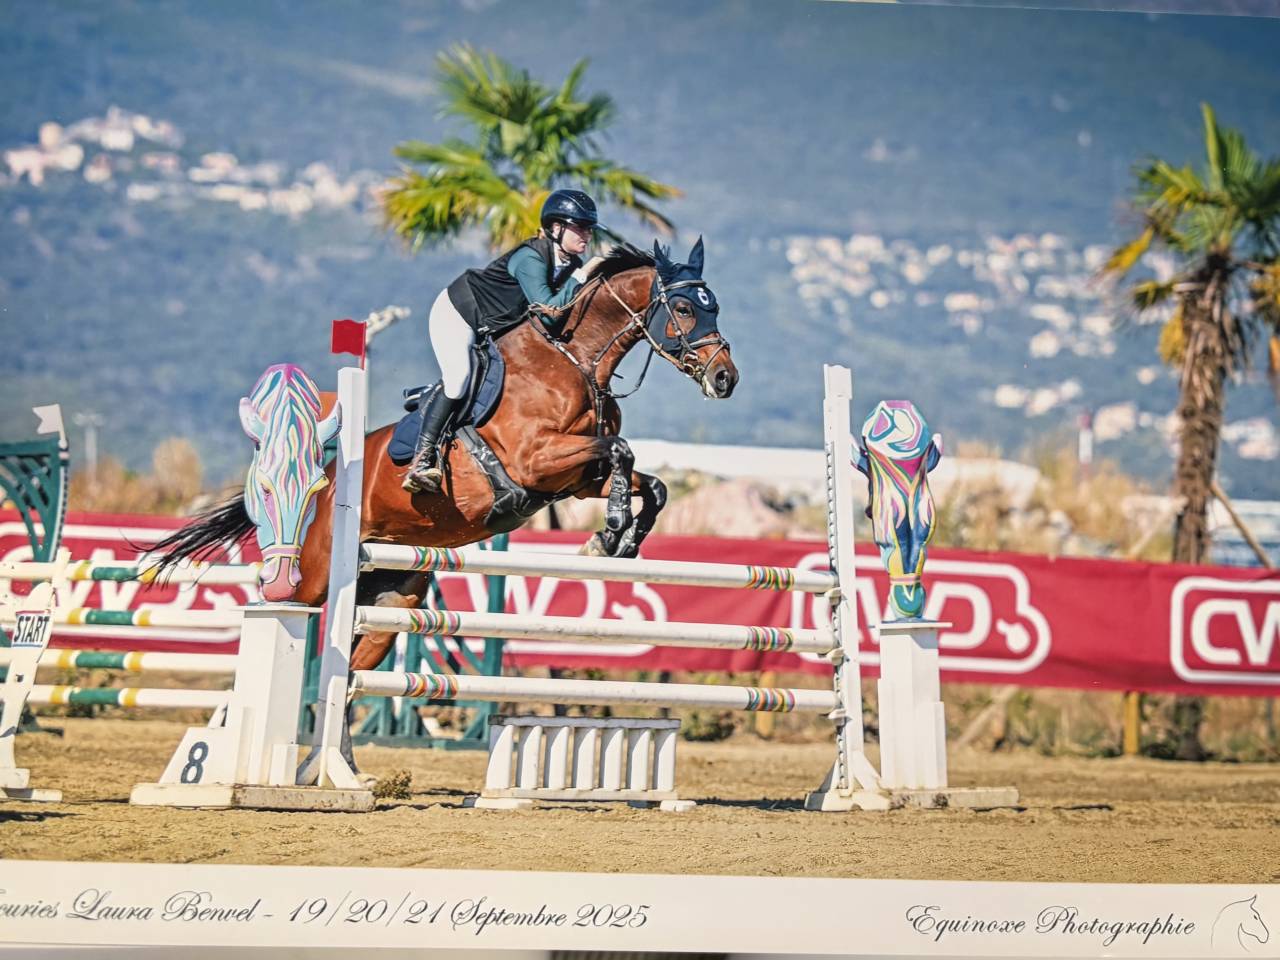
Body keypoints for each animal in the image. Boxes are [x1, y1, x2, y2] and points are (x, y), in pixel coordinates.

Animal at [152, 239, 738, 675]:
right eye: (684, 307)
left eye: (714, 305)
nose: (725, 379)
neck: (575, 361)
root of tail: (326, 476)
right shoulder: (536, 460)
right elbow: (621, 450)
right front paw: (612, 529)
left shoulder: (574, 479)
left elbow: (650, 481)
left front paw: (618, 540)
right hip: (317, 574)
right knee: (285, 609)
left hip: (395, 597)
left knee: (355, 673)